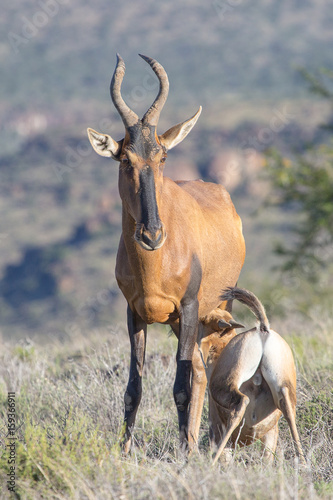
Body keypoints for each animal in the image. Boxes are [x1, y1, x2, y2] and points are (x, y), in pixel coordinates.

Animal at [87, 54, 245, 454]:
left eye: (162, 155)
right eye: (124, 159)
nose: (152, 234)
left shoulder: (188, 307)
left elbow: (180, 387)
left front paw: (186, 454)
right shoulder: (135, 313)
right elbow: (133, 388)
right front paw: (124, 451)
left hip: (214, 311)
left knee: (204, 372)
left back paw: (202, 444)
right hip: (180, 323)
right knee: (201, 371)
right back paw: (194, 439)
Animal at [198, 288, 304, 466]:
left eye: (204, 320)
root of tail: (262, 329)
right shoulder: (270, 434)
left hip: (227, 385)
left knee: (241, 402)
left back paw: (210, 464)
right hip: (284, 388)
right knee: (289, 410)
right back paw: (304, 464)